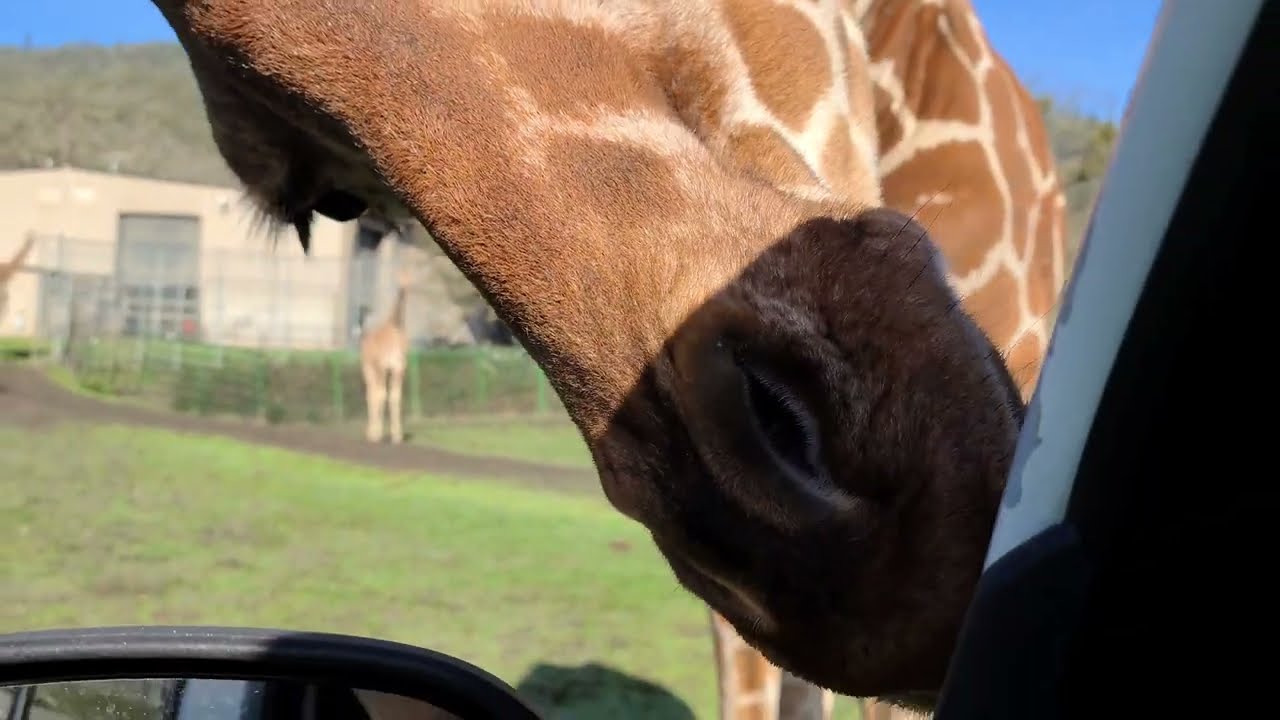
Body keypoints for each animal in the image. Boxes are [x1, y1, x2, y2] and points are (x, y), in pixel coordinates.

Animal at [360, 265, 415, 444]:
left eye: (411, 278)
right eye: (399, 277)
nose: (405, 287)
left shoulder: (399, 368)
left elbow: (395, 397)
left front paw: (397, 436)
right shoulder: (384, 366)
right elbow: (382, 396)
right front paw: (379, 434)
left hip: (380, 370)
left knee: (375, 394)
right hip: (368, 368)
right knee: (371, 394)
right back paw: (371, 433)